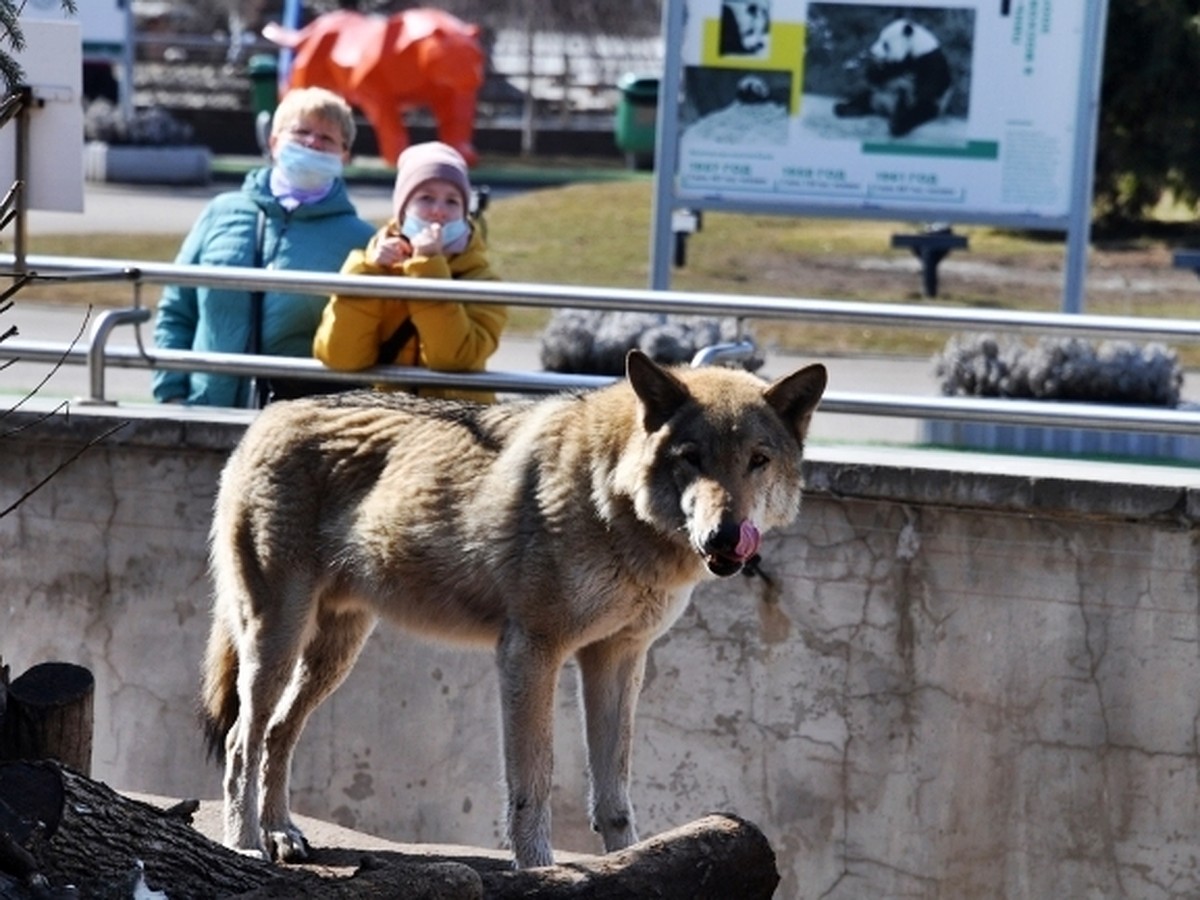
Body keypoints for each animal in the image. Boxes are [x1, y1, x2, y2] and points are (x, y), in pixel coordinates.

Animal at [204, 348, 825, 868]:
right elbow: (533, 785)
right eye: (691, 458)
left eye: (758, 460)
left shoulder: (618, 658)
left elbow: (614, 793)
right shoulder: (529, 652)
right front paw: (540, 870)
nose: (726, 537)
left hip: (333, 655)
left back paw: (282, 832)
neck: (609, 497)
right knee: (241, 741)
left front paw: (632, 863)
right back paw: (246, 844)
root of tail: (268, 415)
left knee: (278, 732)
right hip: (277, 641)